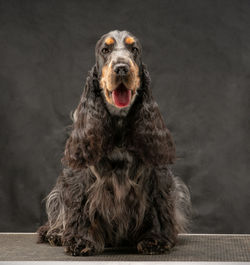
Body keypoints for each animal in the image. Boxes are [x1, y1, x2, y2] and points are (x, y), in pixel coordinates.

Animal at [37, 29, 190, 255]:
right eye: (105, 50)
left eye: (134, 49)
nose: (121, 68)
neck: (118, 124)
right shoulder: (81, 175)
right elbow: (79, 204)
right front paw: (80, 240)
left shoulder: (157, 175)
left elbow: (158, 204)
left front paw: (156, 239)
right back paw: (55, 234)